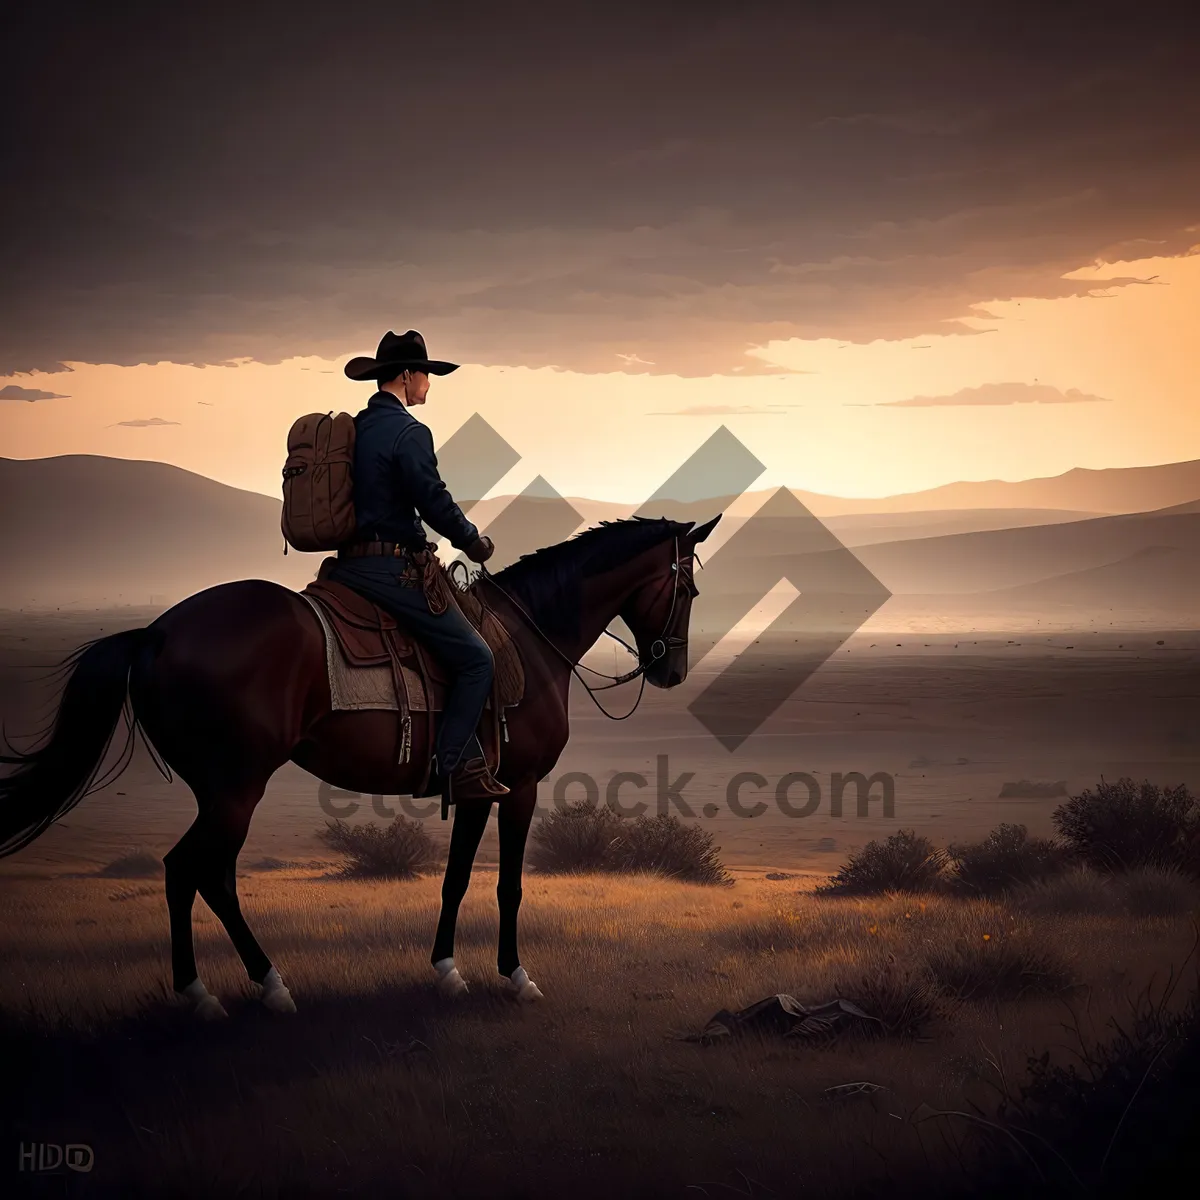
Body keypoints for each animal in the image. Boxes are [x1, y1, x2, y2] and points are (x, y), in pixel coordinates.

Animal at [0, 516, 715, 1022]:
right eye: (688, 586)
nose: (672, 669)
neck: (533, 638)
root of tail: (154, 634)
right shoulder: (521, 788)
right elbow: (509, 885)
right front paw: (517, 978)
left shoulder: (477, 789)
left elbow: (456, 880)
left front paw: (448, 971)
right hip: (235, 789)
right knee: (194, 872)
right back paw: (237, 990)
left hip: (220, 792)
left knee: (203, 875)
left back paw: (232, 988)